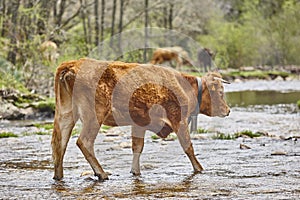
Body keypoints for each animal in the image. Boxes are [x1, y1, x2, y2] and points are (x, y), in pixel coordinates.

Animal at [51, 57, 230, 181]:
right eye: (221, 92)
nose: (228, 110)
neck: (184, 86)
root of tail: (72, 64)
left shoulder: (139, 124)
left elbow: (137, 147)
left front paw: (135, 172)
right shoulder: (178, 119)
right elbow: (188, 147)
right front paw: (199, 169)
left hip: (66, 115)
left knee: (60, 143)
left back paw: (59, 176)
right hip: (94, 116)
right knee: (84, 142)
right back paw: (101, 173)